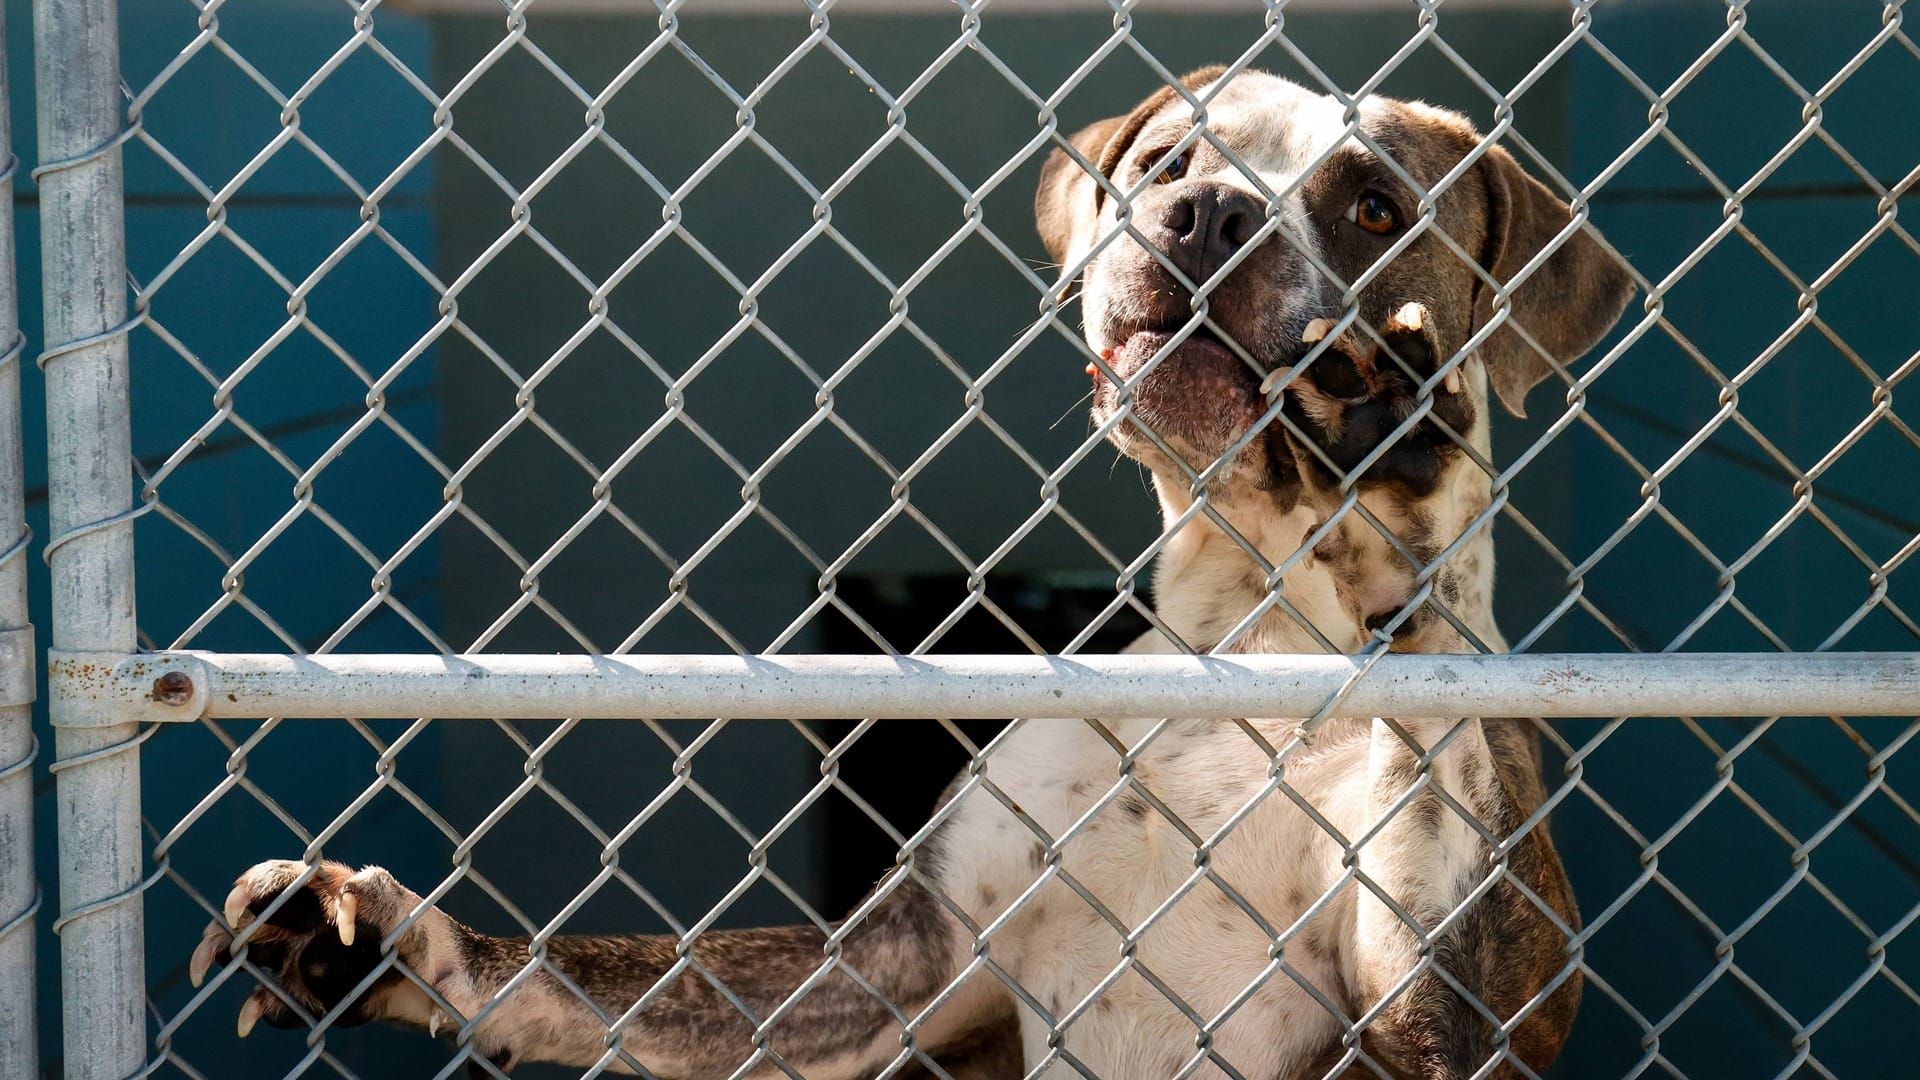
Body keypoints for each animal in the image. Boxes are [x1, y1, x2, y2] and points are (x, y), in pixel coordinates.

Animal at [187, 69, 1635, 1076]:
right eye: (1165, 158)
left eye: (1375, 207)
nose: (1208, 210)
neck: (1252, 631)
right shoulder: (897, 966)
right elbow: (610, 980)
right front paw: (390, 942)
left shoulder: (1442, 1020)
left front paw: (1404, 473)